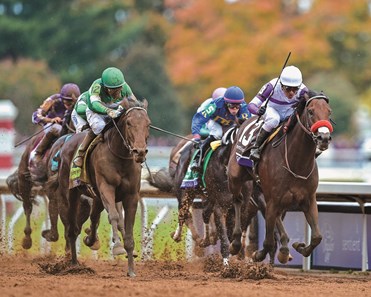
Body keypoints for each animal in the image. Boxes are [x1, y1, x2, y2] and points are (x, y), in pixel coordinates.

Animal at [55, 98, 150, 276]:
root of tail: (68, 141)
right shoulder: (106, 188)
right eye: (129, 123)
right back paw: (74, 264)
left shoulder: (131, 195)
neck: (120, 157)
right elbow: (113, 216)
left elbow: (127, 227)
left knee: (93, 218)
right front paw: (118, 247)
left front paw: (131, 269)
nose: (139, 152)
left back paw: (90, 240)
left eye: (148, 124)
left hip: (97, 197)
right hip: (70, 193)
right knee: (72, 229)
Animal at [228, 89, 332, 262]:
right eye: (311, 111)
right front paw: (258, 254)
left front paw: (299, 247)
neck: (296, 163)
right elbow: (268, 241)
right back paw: (235, 243)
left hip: (264, 191)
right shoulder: (274, 199)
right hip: (236, 177)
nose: (324, 138)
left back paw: (284, 247)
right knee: (238, 201)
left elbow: (317, 237)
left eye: (329, 112)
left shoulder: (308, 199)